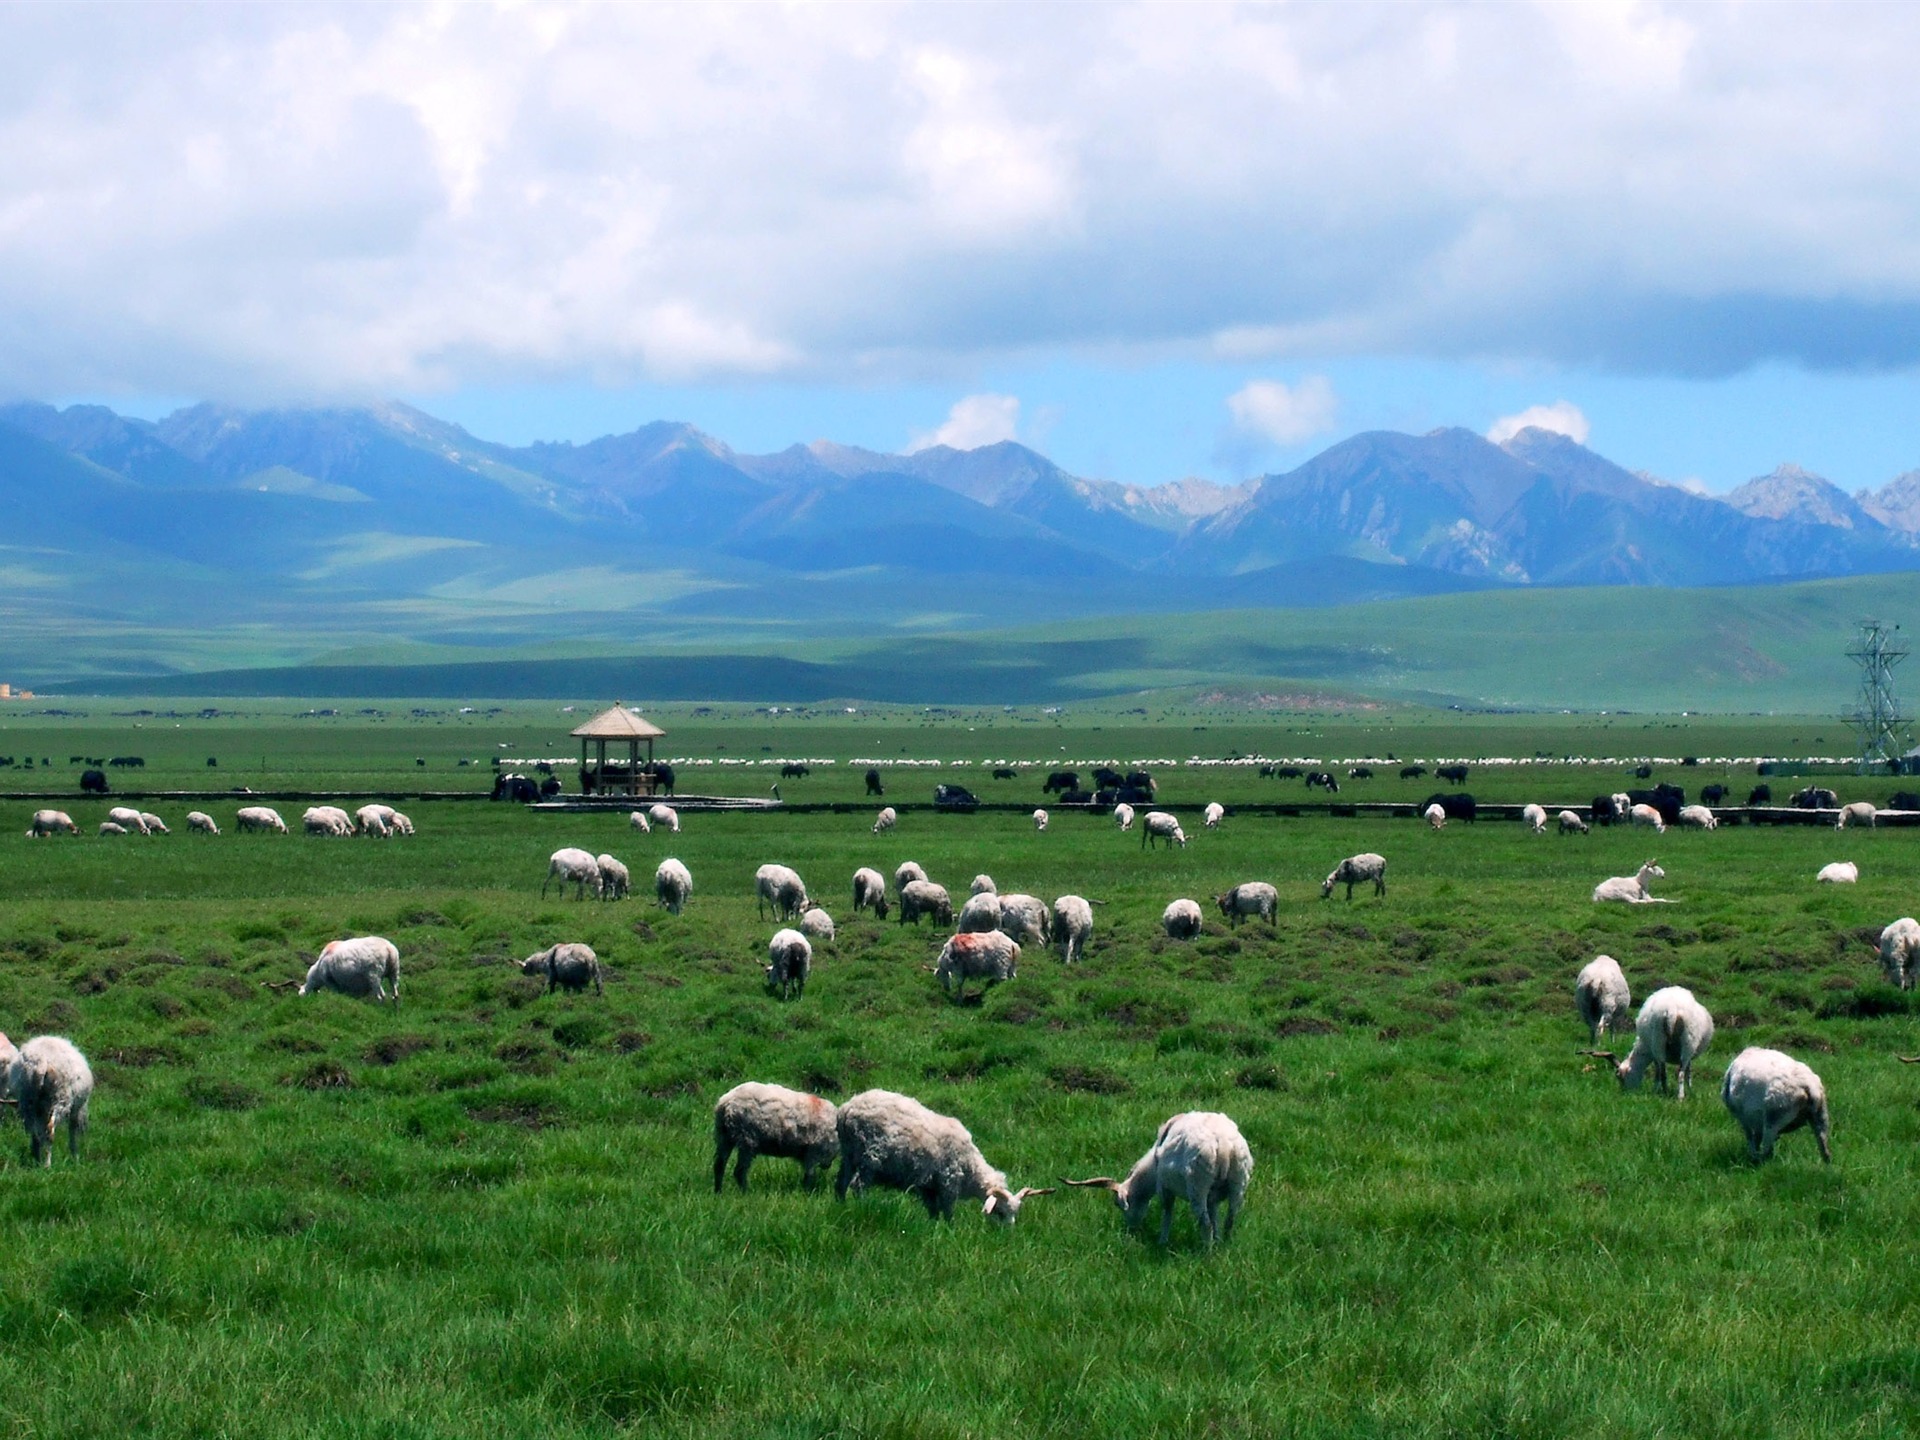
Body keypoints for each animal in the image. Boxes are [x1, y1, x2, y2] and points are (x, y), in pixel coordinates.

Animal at [0, 1029, 92, 1167]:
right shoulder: (75, 1110)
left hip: (28, 1099)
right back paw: (47, 1165)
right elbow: (72, 1133)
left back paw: (37, 1159)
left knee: (35, 1133)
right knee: (49, 1131)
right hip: (60, 1098)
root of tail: (41, 1062)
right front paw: (75, 1157)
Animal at [837, 1090, 1052, 1221]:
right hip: (869, 1158)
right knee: (858, 1186)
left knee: (840, 1184)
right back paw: (862, 1208)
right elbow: (948, 1214)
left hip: (849, 1155)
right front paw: (950, 1233)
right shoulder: (949, 1184)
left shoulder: (929, 1189)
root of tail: (847, 1109)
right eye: (999, 1213)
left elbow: (933, 1213)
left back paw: (841, 1206)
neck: (971, 1168)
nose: (1006, 1237)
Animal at [1059, 1113, 1251, 1251]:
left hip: (1198, 1184)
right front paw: (1218, 1242)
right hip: (1238, 1182)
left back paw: (1207, 1254)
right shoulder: (1213, 1198)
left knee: (1205, 1223)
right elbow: (1215, 1216)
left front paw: (1162, 1241)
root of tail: (1224, 1145)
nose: (1131, 1229)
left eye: (1117, 1204)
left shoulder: (1163, 1187)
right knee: (1230, 1220)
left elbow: (1167, 1212)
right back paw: (1224, 1248)